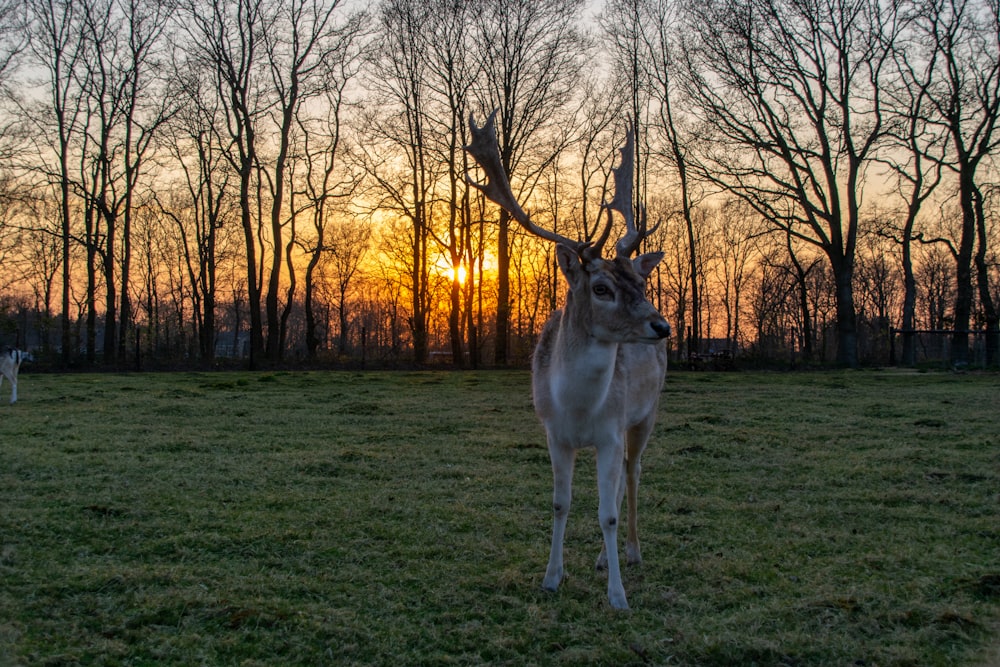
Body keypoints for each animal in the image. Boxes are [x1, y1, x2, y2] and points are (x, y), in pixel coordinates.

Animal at [466, 111, 672, 612]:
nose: (662, 326)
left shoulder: (611, 429)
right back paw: (602, 559)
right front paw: (551, 577)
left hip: (647, 413)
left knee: (632, 475)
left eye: (640, 283)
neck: (579, 409)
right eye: (601, 288)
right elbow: (560, 504)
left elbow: (608, 513)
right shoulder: (554, 433)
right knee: (619, 482)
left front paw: (617, 595)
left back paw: (631, 553)